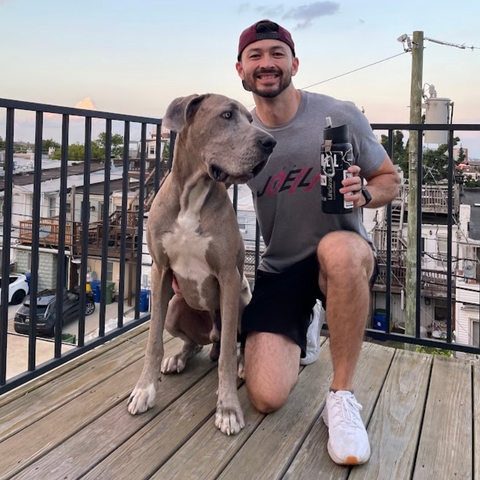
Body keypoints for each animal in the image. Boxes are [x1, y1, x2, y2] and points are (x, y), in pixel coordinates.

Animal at [127, 93, 276, 436]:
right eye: (227, 115)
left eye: (251, 119)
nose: (270, 142)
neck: (193, 195)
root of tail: (212, 336)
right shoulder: (160, 269)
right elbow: (153, 341)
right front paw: (145, 389)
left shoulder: (229, 276)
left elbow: (227, 357)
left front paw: (228, 409)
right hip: (174, 307)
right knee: (194, 343)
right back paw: (179, 357)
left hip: (243, 303)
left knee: (233, 345)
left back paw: (241, 364)